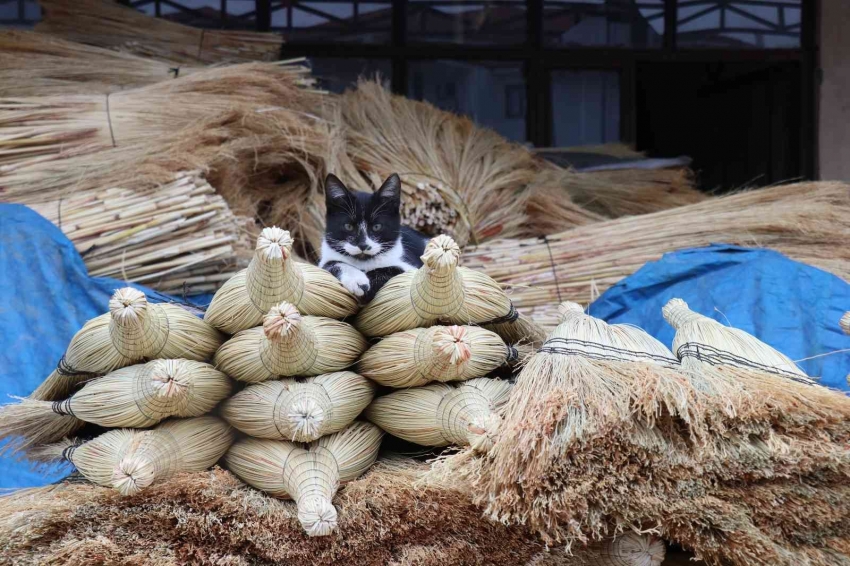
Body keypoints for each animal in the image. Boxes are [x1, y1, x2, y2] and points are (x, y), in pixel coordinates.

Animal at [316, 174, 428, 304]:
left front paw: (367, 286)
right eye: (348, 226)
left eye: (376, 227)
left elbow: (393, 269)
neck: (363, 261)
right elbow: (330, 264)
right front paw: (356, 279)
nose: (363, 245)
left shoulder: (410, 266)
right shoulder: (326, 259)